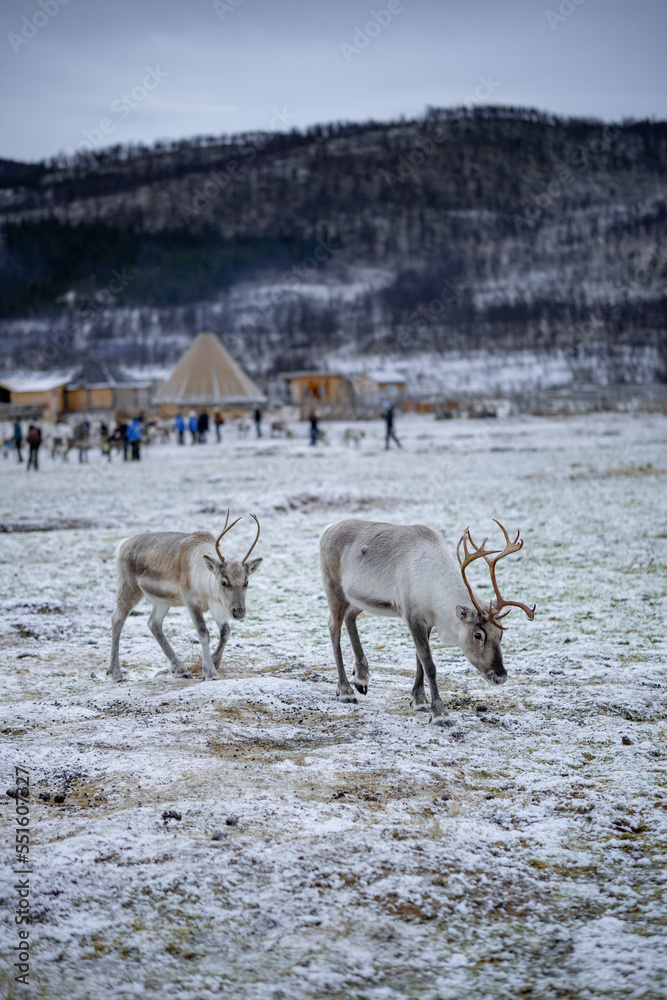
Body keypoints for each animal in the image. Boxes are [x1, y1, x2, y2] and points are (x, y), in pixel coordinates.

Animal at [108, 511, 262, 682]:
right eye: (223, 582)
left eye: (246, 581)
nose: (239, 612)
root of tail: (124, 543)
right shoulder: (191, 602)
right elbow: (203, 633)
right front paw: (210, 673)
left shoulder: (217, 605)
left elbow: (225, 632)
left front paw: (215, 662)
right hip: (129, 588)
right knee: (117, 619)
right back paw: (116, 673)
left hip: (163, 601)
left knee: (154, 624)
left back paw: (180, 669)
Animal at [320, 518, 535, 726]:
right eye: (477, 634)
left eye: (501, 634)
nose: (500, 676)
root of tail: (327, 530)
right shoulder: (412, 616)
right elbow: (429, 664)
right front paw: (439, 714)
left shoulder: (427, 621)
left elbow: (419, 661)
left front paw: (419, 700)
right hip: (335, 589)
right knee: (333, 628)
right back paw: (345, 690)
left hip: (359, 599)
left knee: (350, 618)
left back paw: (361, 678)